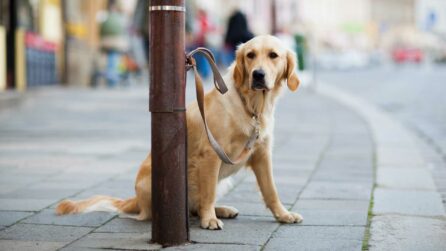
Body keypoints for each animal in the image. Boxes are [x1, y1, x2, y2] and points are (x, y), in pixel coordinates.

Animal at [55, 35, 304, 229]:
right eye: (250, 55)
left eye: (273, 55)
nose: (258, 75)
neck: (252, 107)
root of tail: (134, 199)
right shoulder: (211, 154)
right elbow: (208, 193)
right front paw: (209, 220)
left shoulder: (261, 154)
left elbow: (271, 190)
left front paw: (283, 215)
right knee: (180, 208)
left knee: (196, 205)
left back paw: (222, 209)